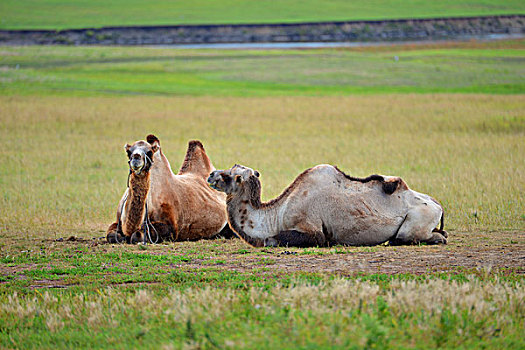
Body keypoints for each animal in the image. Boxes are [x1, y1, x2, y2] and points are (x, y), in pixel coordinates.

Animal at [208, 165, 446, 249]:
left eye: (229, 175)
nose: (211, 174)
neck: (277, 214)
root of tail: (438, 205)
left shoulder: (312, 230)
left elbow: (273, 240)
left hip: (417, 219)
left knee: (409, 237)